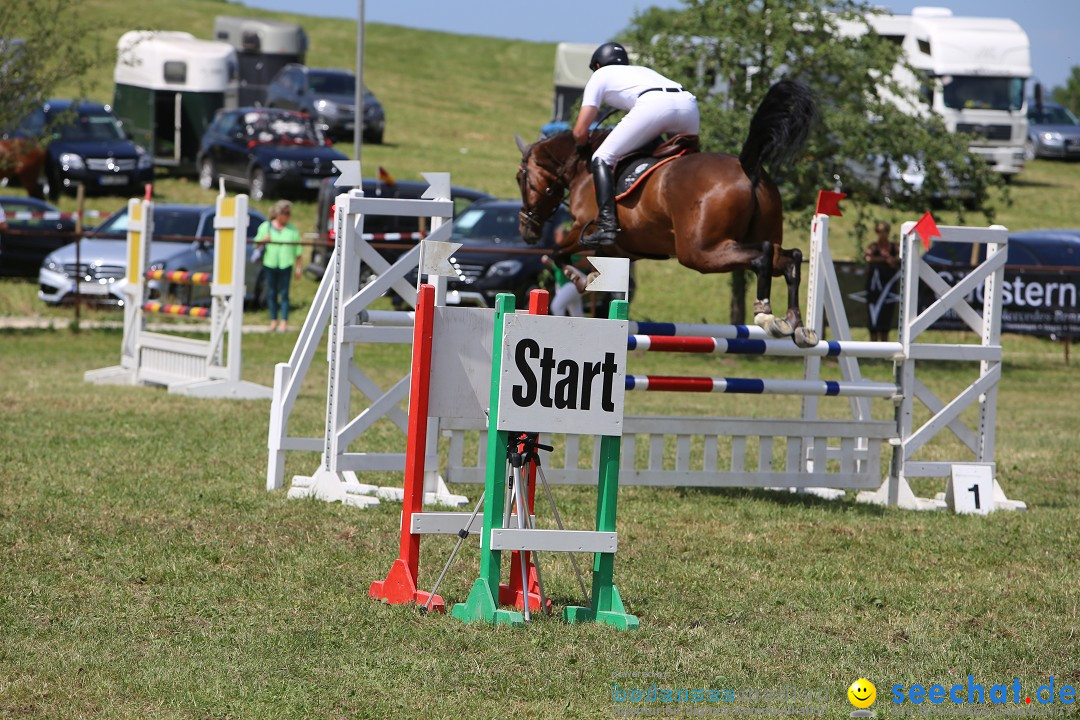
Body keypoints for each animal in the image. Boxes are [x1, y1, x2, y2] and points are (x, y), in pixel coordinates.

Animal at [514, 79, 816, 349]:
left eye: (520, 178)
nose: (526, 230)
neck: (581, 168)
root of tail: (747, 167)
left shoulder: (581, 229)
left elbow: (557, 253)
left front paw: (582, 280)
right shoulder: (620, 249)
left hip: (700, 253)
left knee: (762, 255)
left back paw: (765, 314)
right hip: (751, 237)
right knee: (789, 258)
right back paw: (795, 325)